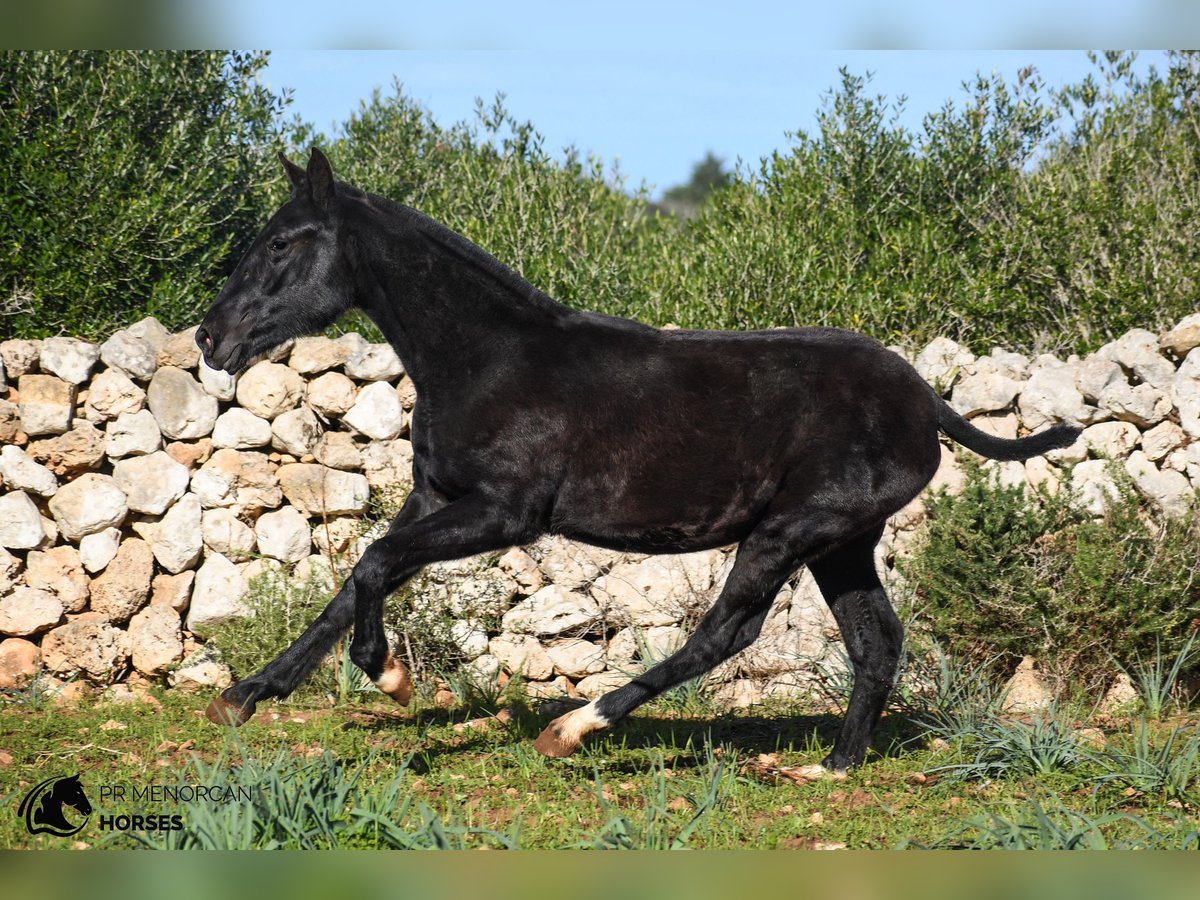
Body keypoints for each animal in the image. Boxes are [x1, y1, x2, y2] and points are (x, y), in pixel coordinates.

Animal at [196, 148, 1080, 777]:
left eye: (281, 243)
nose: (211, 337)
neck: (487, 359)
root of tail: (927, 404)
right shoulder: (436, 499)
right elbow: (352, 581)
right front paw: (245, 696)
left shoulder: (505, 513)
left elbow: (374, 563)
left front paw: (391, 678)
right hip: (842, 542)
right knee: (875, 640)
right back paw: (833, 765)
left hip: (792, 531)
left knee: (727, 632)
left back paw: (572, 728)